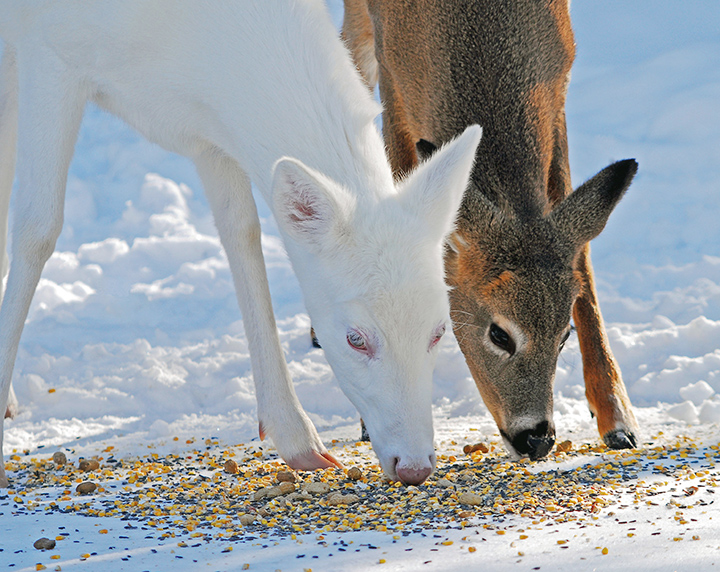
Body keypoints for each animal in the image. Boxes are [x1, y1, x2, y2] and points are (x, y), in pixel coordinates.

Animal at [0, 0, 483, 487]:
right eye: (354, 339)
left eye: (440, 331)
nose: (415, 466)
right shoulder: (49, 50)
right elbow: (38, 228)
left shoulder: (208, 134)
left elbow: (242, 232)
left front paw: (296, 436)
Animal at [342, 0, 640, 460]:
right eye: (499, 334)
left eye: (563, 336)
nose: (537, 438)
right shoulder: (395, 84)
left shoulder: (558, 89)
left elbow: (582, 260)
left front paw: (617, 415)